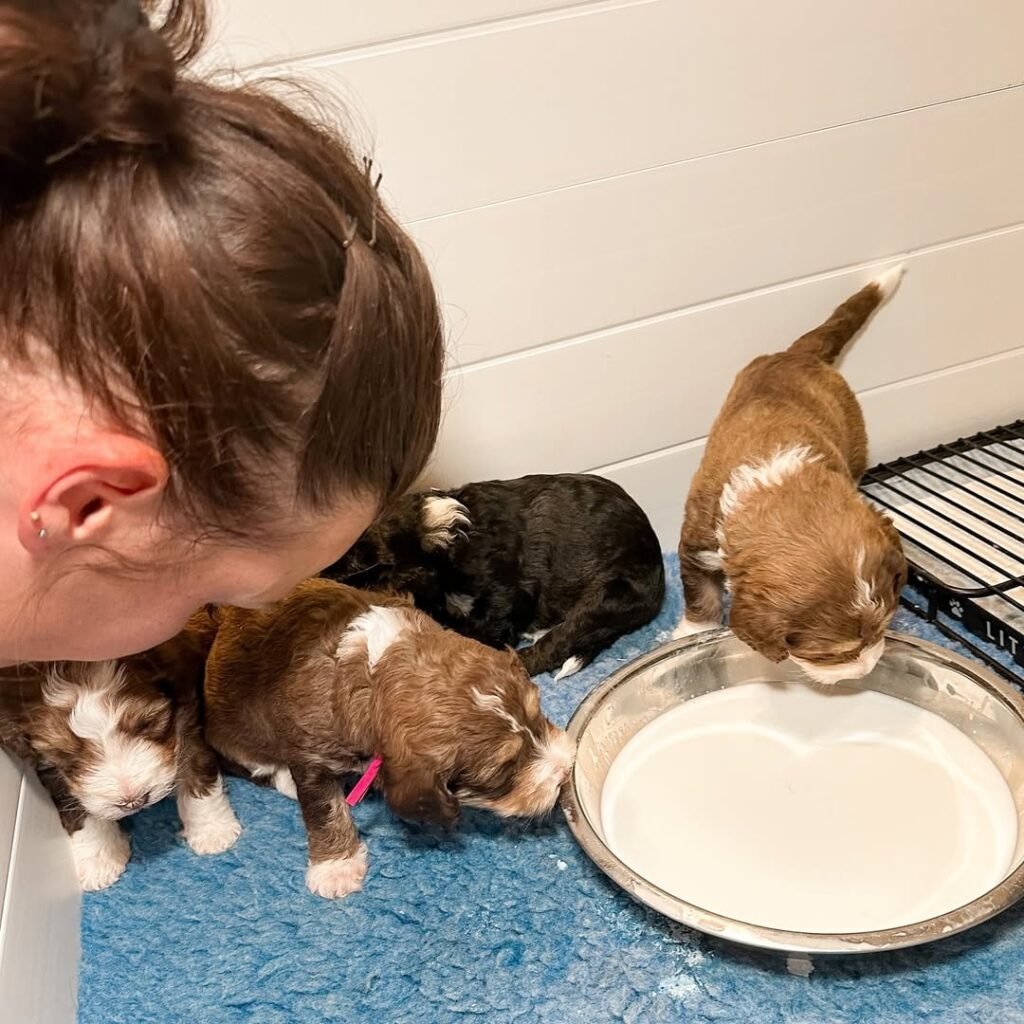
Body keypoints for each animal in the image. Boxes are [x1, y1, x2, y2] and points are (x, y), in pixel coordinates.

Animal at [0, 610, 238, 892]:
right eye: (69, 756)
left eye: (147, 724)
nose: (133, 801)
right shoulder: (45, 761)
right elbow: (73, 804)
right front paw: (99, 861)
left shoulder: (184, 712)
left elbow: (195, 766)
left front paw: (213, 830)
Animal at [203, 581, 577, 901]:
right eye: (502, 772)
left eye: (538, 715)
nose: (564, 771)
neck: (374, 669)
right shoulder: (311, 753)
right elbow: (325, 807)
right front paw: (336, 868)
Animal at [323, 471, 667, 679]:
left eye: (378, 562)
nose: (328, 569)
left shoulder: (506, 596)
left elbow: (482, 628)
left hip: (611, 594)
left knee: (558, 642)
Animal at [675, 268, 909, 684]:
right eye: (831, 654)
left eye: (883, 628)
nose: (863, 673)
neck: (780, 482)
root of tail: (800, 354)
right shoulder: (697, 542)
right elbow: (700, 594)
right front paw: (692, 632)